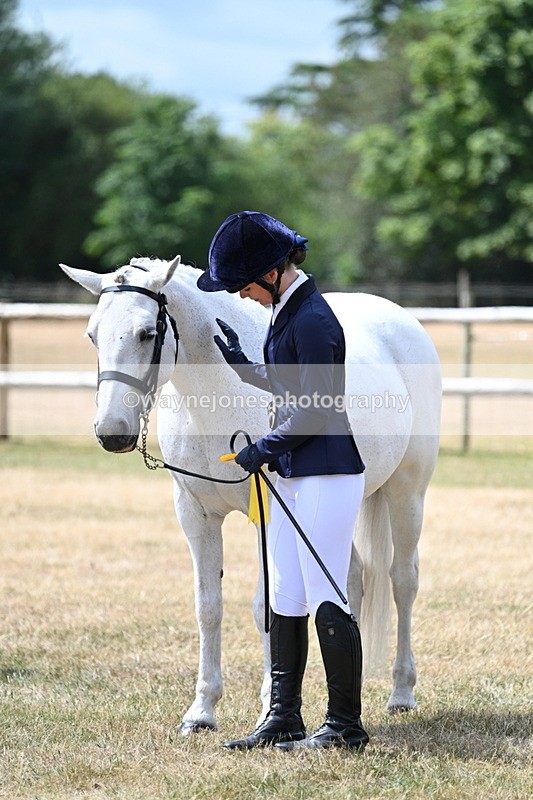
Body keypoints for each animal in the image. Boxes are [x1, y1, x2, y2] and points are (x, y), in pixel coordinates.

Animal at [60, 256, 442, 734]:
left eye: (147, 332)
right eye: (92, 335)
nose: (113, 433)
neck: (216, 398)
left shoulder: (270, 515)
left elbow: (268, 608)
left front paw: (269, 710)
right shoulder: (195, 515)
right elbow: (208, 606)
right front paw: (201, 711)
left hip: (407, 492)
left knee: (403, 580)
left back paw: (401, 692)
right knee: (348, 581)